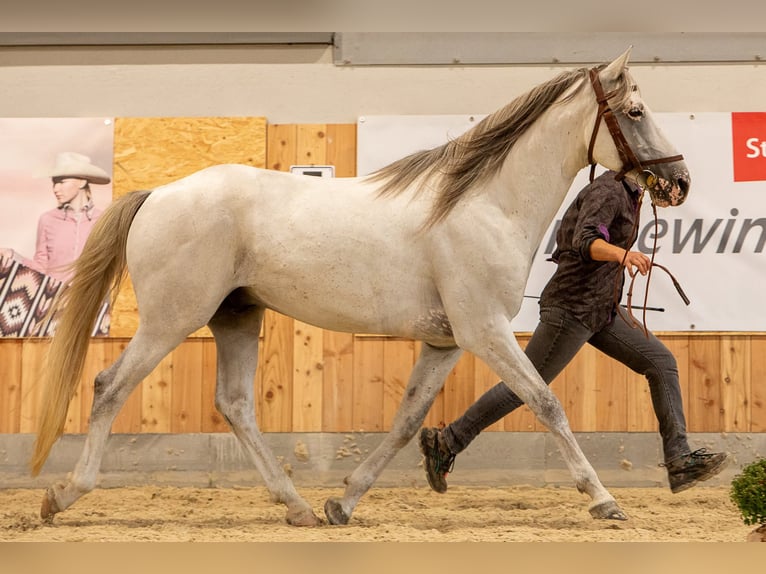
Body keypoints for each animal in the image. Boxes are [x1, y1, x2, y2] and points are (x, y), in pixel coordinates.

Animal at [30, 47, 690, 527]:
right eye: (635, 112)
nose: (679, 180)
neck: (485, 203)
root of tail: (157, 194)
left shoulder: (445, 343)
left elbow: (405, 422)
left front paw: (342, 502)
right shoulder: (485, 332)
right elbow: (545, 402)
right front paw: (604, 500)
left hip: (236, 316)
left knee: (235, 404)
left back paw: (298, 507)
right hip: (172, 318)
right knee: (110, 386)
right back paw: (61, 496)